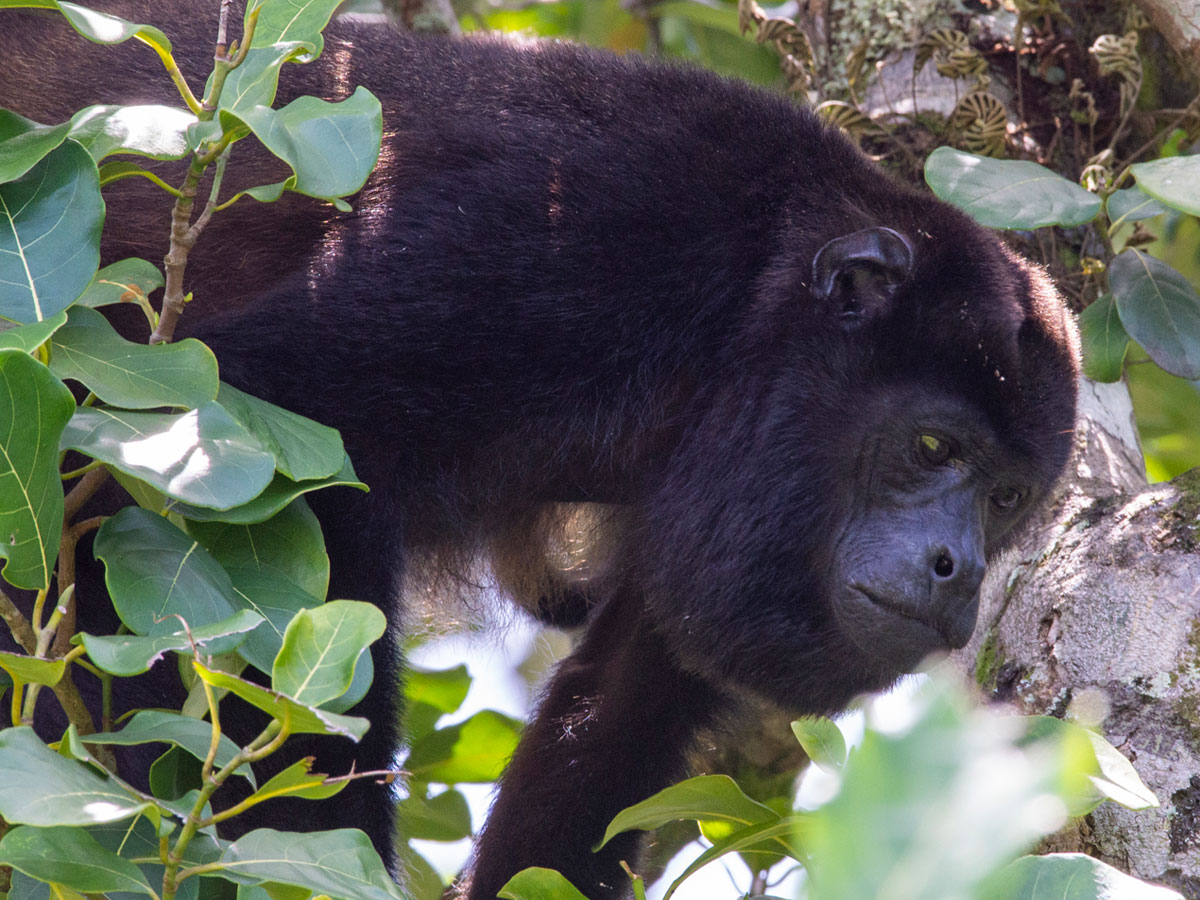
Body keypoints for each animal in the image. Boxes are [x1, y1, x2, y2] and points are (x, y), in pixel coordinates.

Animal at [0, 3, 1084, 897]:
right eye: (933, 445)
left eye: (1004, 499)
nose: (956, 568)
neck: (741, 312)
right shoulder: (571, 257)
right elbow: (217, 441)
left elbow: (621, 706)